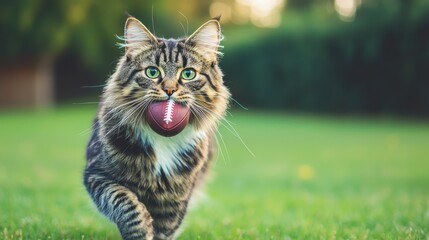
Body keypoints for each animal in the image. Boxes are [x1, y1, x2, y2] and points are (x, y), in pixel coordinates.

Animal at [84, 15, 231, 239]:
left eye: (188, 74)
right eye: (152, 72)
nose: (169, 90)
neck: (163, 138)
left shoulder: (175, 198)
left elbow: (165, 230)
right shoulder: (97, 174)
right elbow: (125, 204)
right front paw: (141, 228)